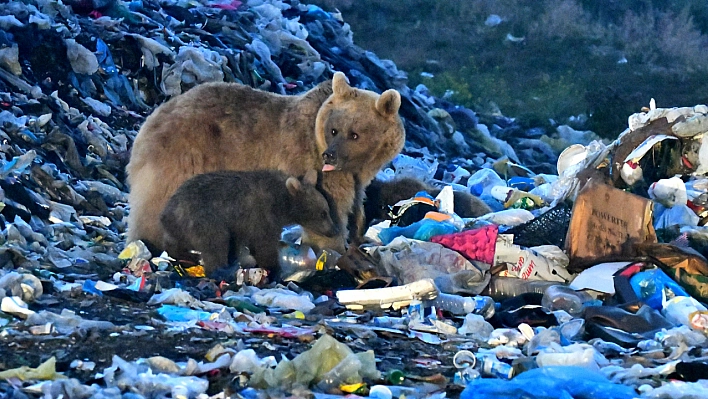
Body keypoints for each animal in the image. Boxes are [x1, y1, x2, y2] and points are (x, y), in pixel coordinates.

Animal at [126, 72, 404, 253]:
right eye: (334, 130)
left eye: (355, 134)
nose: (330, 155)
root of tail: (154, 115)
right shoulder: (316, 166)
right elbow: (330, 209)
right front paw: (333, 247)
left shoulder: (356, 178)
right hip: (186, 154)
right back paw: (151, 241)